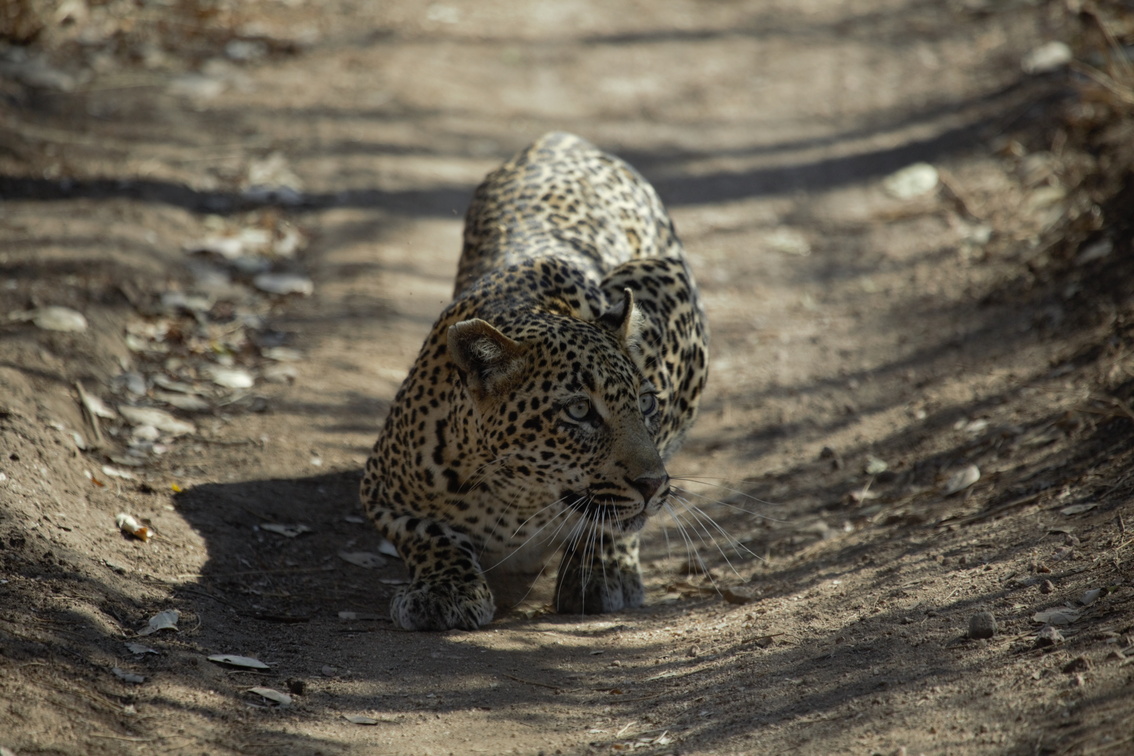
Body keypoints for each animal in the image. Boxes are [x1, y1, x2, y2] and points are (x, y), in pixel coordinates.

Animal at [361, 132, 709, 631]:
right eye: (579, 410)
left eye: (646, 404)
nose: (652, 484)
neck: (519, 497)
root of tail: (559, 138)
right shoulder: (381, 492)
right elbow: (426, 534)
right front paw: (445, 592)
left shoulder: (669, 285)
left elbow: (613, 519)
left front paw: (604, 571)